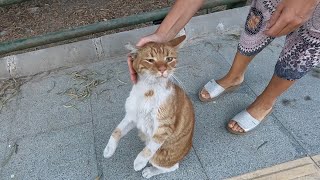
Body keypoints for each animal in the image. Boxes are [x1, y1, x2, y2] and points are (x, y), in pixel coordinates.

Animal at [104, 35, 194, 179]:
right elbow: (116, 131)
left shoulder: (164, 128)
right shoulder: (131, 117)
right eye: (151, 60)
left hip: (161, 156)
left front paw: (139, 162)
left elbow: (150, 148)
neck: (149, 91)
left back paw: (150, 171)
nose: (163, 69)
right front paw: (108, 149)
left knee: (172, 166)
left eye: (169, 59)